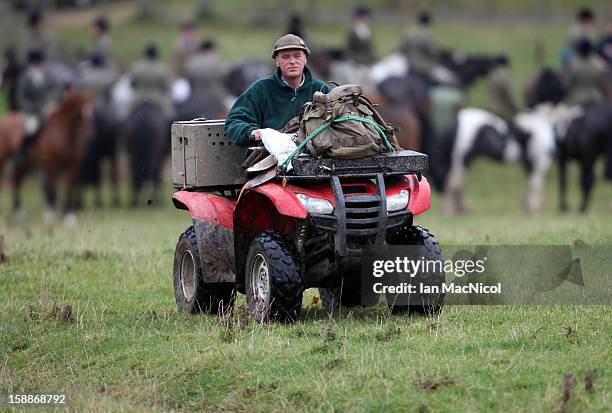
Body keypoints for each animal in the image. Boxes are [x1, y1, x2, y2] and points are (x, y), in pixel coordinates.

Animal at [11, 87, 92, 222]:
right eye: (81, 113)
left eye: (92, 110)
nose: (90, 134)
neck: (66, 134)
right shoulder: (52, 164)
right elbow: (52, 188)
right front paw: (50, 215)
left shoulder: (73, 166)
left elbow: (69, 188)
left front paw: (68, 215)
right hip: (24, 163)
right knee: (16, 181)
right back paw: (18, 212)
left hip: (29, 164)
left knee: (18, 180)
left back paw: (19, 211)